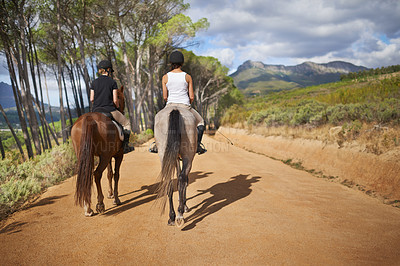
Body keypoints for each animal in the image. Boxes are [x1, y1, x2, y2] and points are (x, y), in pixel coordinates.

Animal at [70, 86, 126, 217]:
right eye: (122, 98)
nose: (123, 109)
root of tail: (89, 118)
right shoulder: (118, 155)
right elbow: (116, 174)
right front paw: (116, 199)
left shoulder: (108, 156)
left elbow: (109, 174)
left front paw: (110, 194)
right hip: (104, 157)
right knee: (96, 174)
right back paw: (100, 204)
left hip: (86, 156)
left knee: (87, 176)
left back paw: (88, 208)